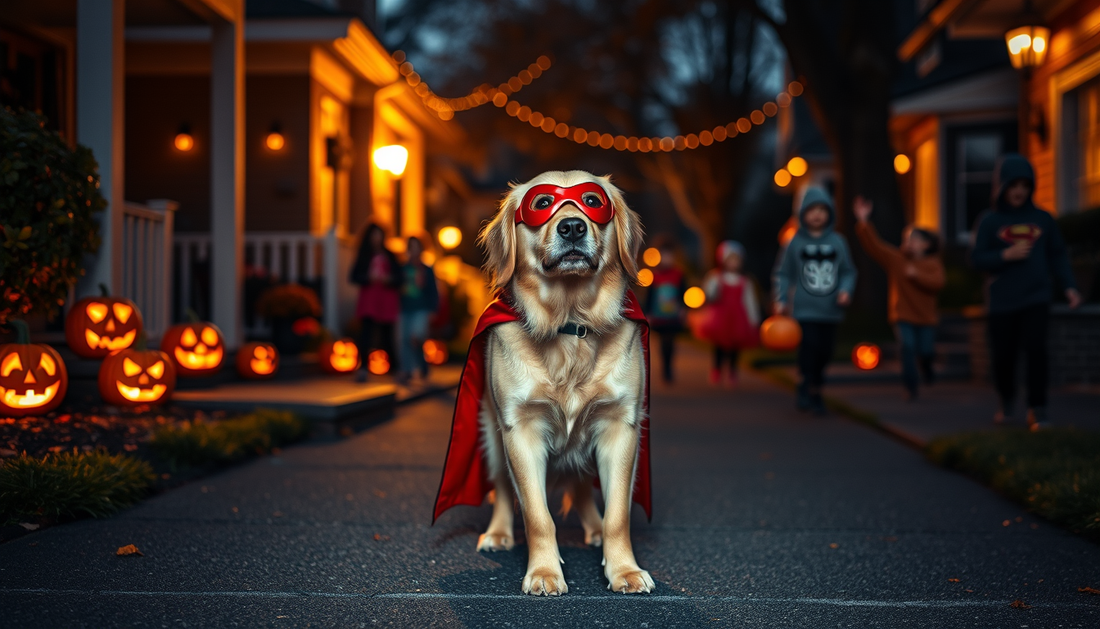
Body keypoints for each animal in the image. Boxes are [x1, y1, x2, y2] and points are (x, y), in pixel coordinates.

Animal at [475, 170, 651, 593]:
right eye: (541, 204)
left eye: (593, 200)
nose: (572, 227)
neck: (571, 324)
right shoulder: (519, 430)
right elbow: (538, 516)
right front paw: (543, 572)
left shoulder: (621, 427)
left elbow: (618, 514)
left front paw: (624, 570)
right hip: (491, 437)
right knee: (502, 489)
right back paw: (498, 533)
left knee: (584, 489)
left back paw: (595, 531)